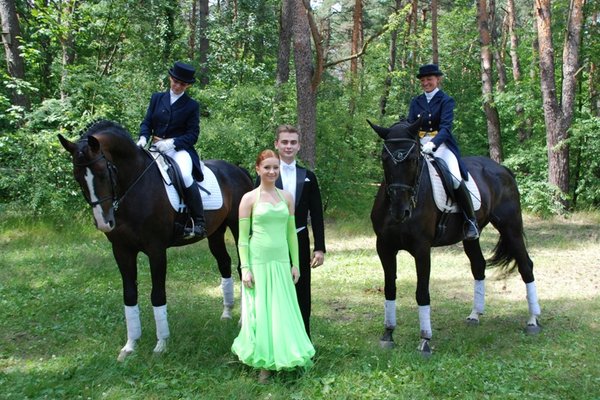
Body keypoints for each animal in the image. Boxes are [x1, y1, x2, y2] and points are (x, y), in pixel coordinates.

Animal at [57, 120, 252, 360]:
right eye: (77, 176)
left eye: (103, 172)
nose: (104, 223)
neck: (134, 186)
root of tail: (237, 170)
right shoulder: (121, 250)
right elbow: (129, 295)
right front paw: (130, 345)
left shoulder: (156, 250)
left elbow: (157, 295)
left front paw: (161, 344)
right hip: (215, 232)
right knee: (224, 263)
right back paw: (226, 314)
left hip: (238, 228)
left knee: (242, 268)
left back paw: (243, 320)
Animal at [368, 119, 540, 356]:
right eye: (385, 159)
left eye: (413, 160)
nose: (400, 211)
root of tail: (503, 169)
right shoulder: (384, 247)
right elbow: (389, 289)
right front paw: (388, 334)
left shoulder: (422, 249)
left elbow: (422, 292)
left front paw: (425, 340)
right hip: (471, 237)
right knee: (478, 265)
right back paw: (475, 315)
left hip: (510, 228)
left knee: (526, 266)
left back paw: (533, 321)